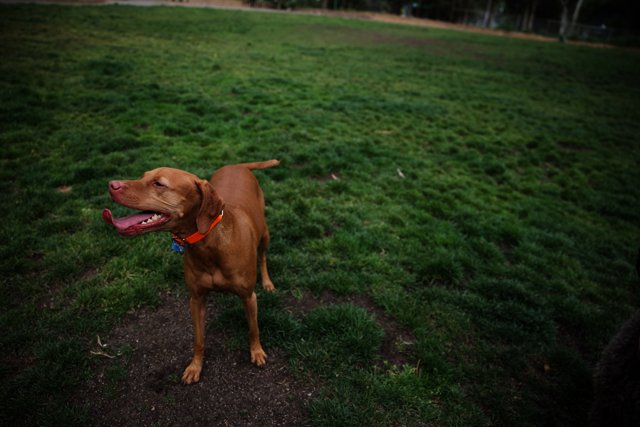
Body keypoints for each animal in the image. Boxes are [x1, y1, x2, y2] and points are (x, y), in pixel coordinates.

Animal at [102, 160, 278, 384]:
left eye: (159, 184)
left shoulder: (248, 296)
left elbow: (253, 328)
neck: (208, 243)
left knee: (262, 257)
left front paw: (256, 352)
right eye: (143, 176)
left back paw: (268, 282)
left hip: (264, 233)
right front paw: (195, 366)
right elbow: (199, 339)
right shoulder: (196, 300)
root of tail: (238, 164)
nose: (111, 185)